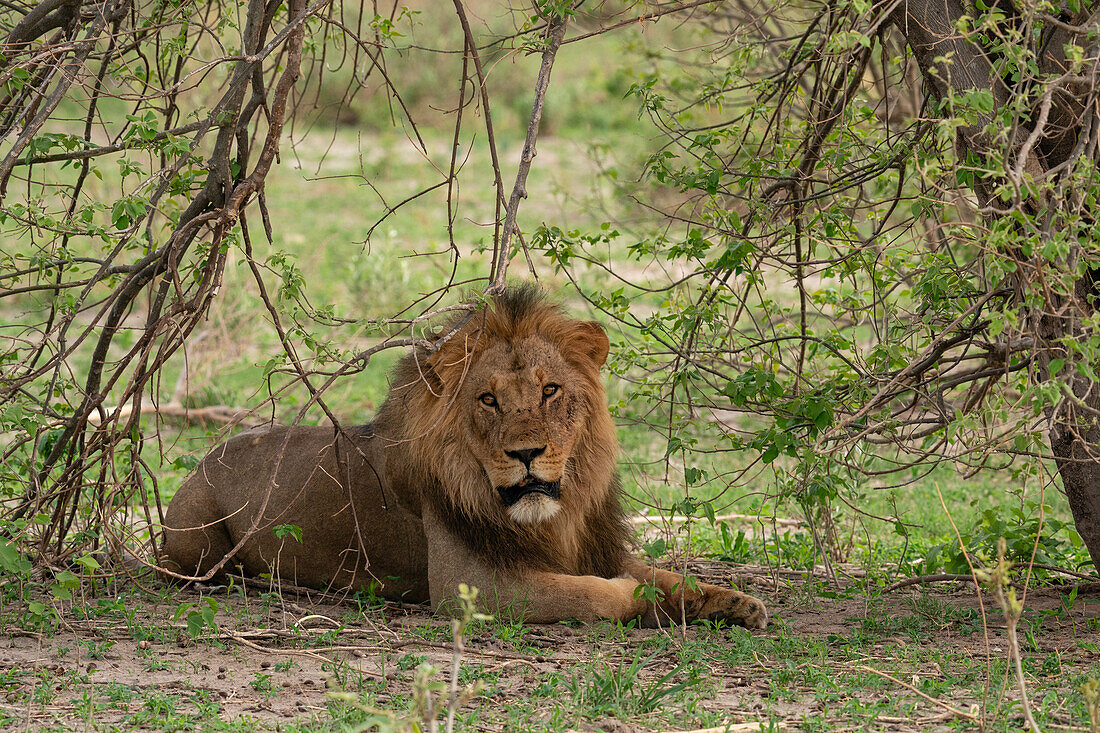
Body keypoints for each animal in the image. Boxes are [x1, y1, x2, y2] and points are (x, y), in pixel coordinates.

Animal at [162, 286, 770, 629]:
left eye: (550, 391)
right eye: (488, 399)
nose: (526, 453)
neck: (554, 518)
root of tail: (206, 456)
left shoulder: (591, 547)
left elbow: (670, 576)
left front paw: (735, 603)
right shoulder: (470, 585)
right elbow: (592, 594)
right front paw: (637, 597)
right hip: (197, 545)